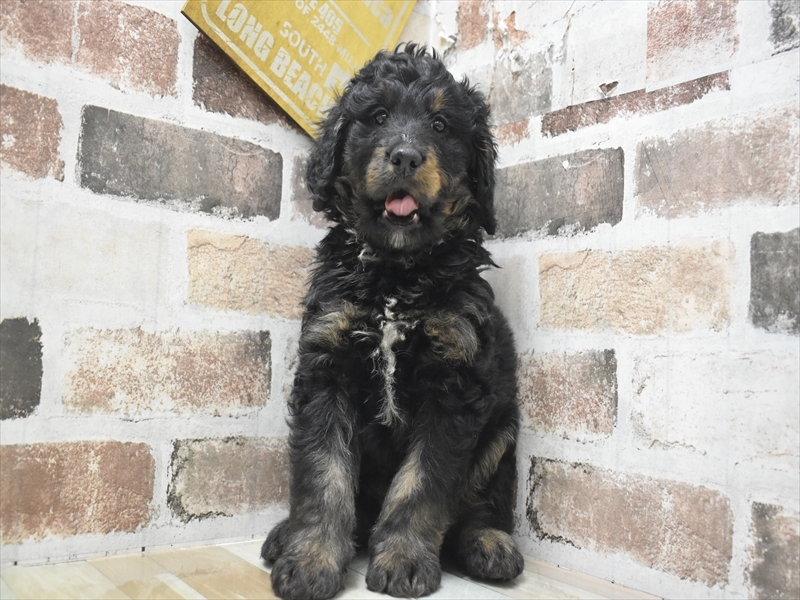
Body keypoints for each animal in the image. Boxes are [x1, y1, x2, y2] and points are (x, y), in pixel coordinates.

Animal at [261, 44, 522, 600]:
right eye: (377, 117)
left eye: (441, 125)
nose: (404, 156)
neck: (396, 279)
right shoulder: (327, 365)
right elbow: (323, 475)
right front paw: (311, 559)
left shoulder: (453, 383)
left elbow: (422, 482)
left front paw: (402, 558)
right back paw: (285, 534)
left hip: (502, 432)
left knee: (482, 505)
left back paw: (489, 544)